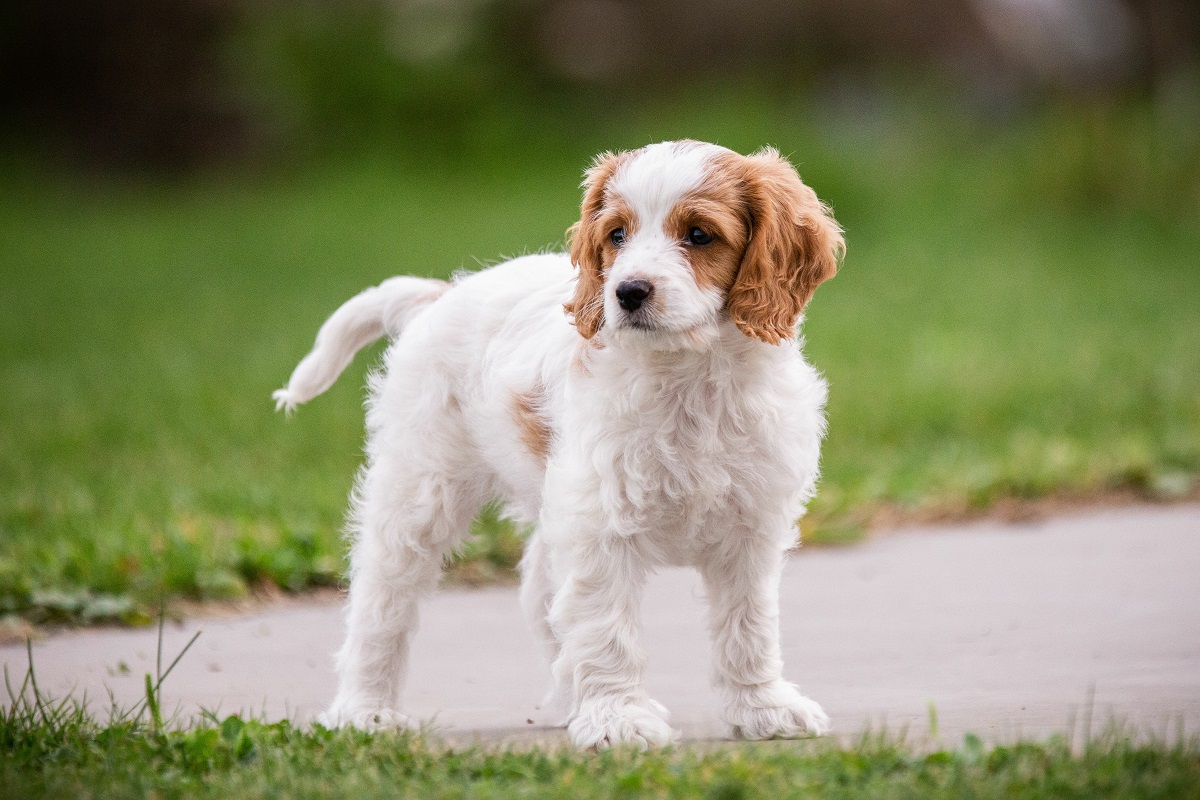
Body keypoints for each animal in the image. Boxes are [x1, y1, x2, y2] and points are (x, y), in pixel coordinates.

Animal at [274, 140, 844, 748]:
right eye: (616, 235)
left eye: (698, 234)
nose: (627, 291)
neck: (690, 378)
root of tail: (442, 294)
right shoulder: (601, 526)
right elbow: (606, 627)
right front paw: (618, 719)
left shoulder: (750, 531)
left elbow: (749, 627)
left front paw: (763, 709)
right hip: (420, 492)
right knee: (382, 601)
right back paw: (365, 712)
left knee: (538, 592)